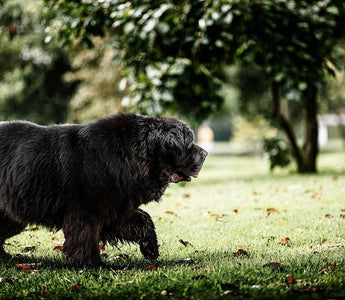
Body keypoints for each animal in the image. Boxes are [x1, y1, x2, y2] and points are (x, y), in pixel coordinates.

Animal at [0, 113, 206, 266]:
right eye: (188, 144)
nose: (205, 153)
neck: (127, 155)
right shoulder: (85, 211)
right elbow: (85, 236)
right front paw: (91, 263)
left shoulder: (116, 207)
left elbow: (144, 220)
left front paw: (151, 248)